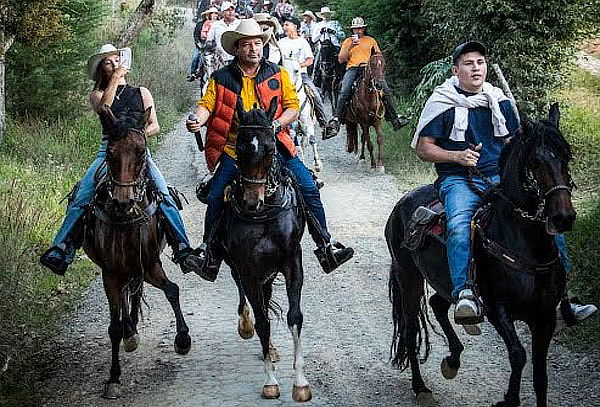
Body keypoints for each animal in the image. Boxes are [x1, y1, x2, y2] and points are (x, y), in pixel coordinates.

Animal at [83, 107, 191, 400]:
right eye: (110, 153)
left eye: (141, 151)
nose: (123, 202)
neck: (126, 220)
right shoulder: (110, 272)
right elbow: (114, 325)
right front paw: (113, 377)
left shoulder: (149, 263)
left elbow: (172, 290)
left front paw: (183, 339)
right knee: (124, 299)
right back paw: (129, 332)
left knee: (135, 291)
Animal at [214, 99, 314, 404]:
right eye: (240, 148)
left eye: (271, 149)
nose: (250, 201)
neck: (265, 214)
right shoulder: (248, 270)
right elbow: (262, 322)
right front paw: (271, 382)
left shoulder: (292, 263)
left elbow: (294, 317)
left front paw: (300, 383)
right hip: (242, 269)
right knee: (249, 302)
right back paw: (247, 327)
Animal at [384, 103, 576, 406]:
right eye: (536, 162)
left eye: (566, 157)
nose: (563, 217)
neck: (522, 241)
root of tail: (401, 204)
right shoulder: (498, 308)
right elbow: (518, 354)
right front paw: (508, 399)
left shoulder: (543, 316)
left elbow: (540, 375)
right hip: (408, 278)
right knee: (411, 327)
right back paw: (420, 387)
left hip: (446, 281)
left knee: (438, 304)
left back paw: (452, 359)